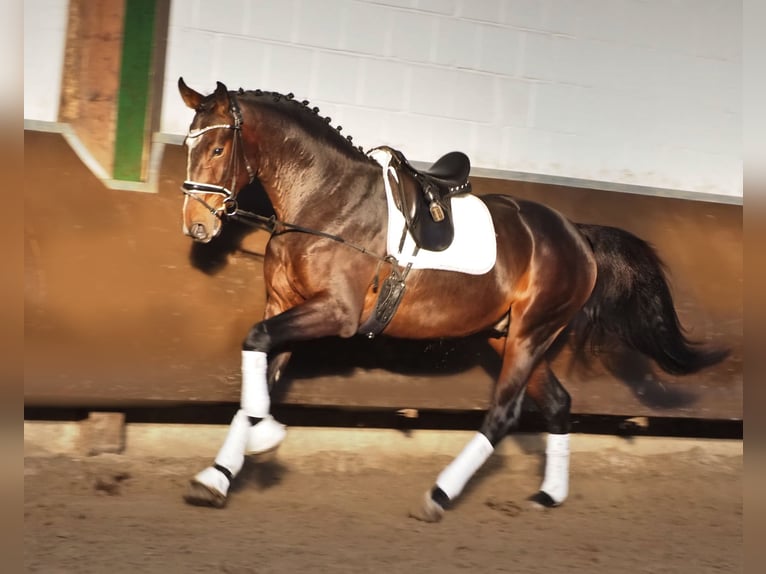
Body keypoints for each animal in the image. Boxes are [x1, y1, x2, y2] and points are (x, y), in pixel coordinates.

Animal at [177, 76, 728, 520]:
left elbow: (256, 343)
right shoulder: (284, 306)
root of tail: (578, 234)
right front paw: (218, 477)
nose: (197, 226)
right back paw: (547, 495)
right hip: (508, 336)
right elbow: (259, 364)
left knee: (504, 414)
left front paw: (263, 438)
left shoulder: (336, 313)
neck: (325, 200)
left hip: (531, 333)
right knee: (557, 403)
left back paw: (440, 495)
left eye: (219, 150)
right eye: (187, 144)